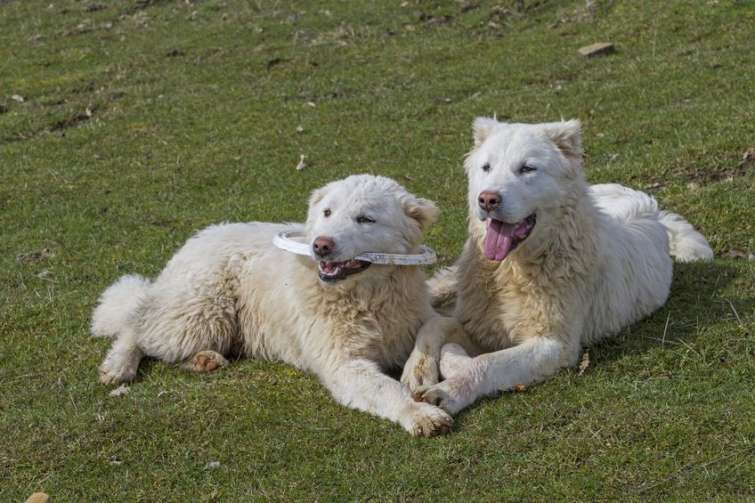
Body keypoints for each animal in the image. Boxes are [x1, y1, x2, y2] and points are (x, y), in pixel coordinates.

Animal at [88, 175, 454, 436]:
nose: (320, 245)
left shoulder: (421, 312)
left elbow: (435, 325)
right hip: (201, 311)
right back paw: (119, 365)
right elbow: (387, 390)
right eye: (327, 213)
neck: (367, 295)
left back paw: (204, 360)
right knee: (135, 324)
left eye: (365, 219)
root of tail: (196, 238)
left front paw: (419, 371)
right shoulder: (344, 365)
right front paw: (420, 414)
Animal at [410, 118, 712, 414]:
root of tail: (651, 207)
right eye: (487, 167)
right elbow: (439, 327)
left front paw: (448, 391)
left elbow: (486, 362)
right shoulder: (476, 322)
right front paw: (423, 370)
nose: (487, 199)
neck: (514, 270)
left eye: (527, 169)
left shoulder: (553, 345)